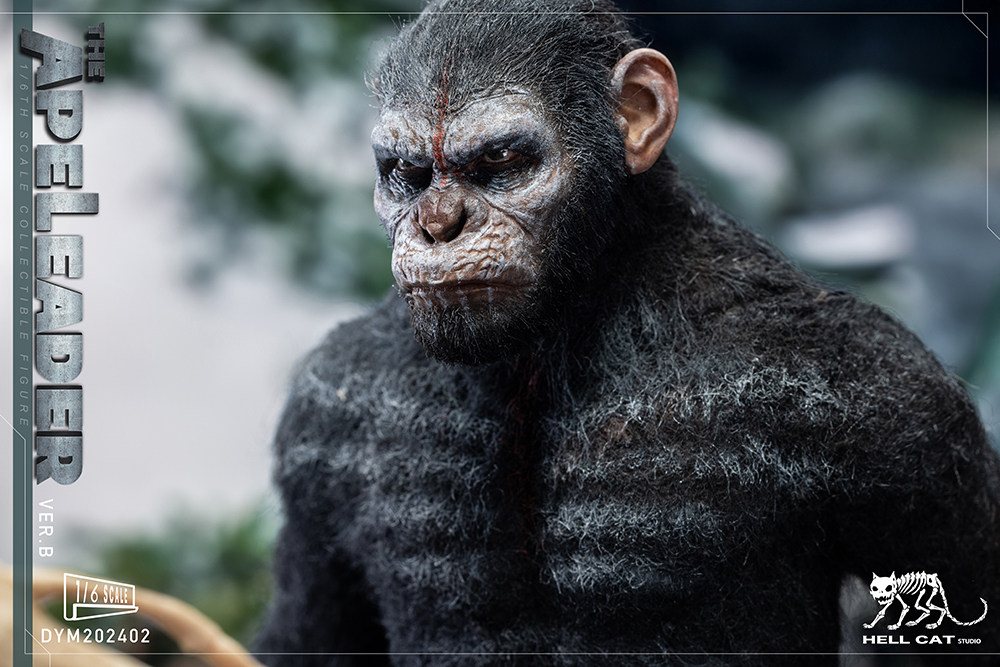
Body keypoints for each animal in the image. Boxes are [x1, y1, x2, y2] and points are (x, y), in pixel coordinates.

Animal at [253, 1, 1000, 664]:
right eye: (405, 175)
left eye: (499, 162)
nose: (439, 224)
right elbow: (309, 634)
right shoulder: (323, 409)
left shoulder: (893, 410)